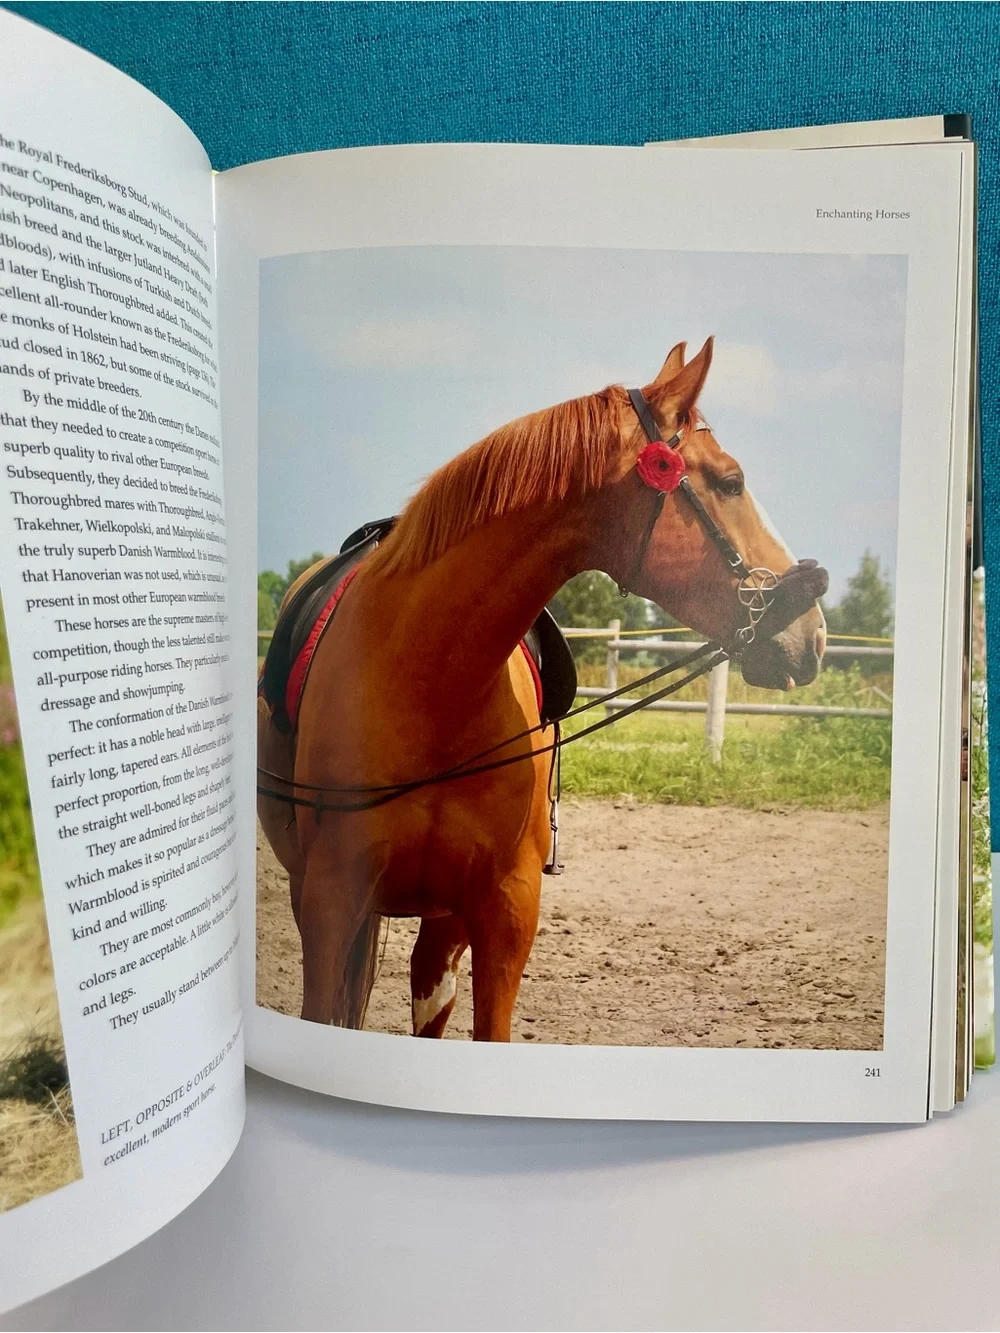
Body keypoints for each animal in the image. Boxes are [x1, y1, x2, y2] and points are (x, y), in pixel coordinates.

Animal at [257, 337, 827, 1041]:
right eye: (730, 481)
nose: (814, 632)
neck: (431, 681)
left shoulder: (506, 912)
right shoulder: (331, 903)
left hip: (444, 921)